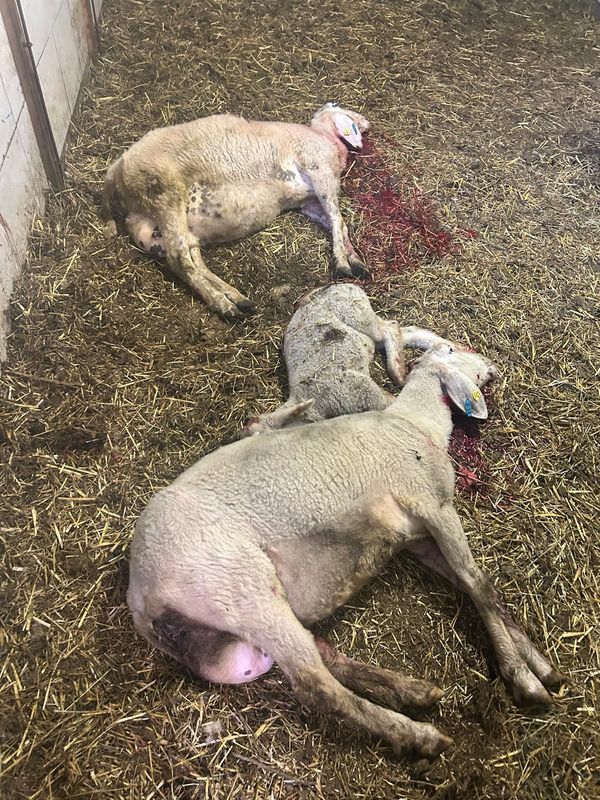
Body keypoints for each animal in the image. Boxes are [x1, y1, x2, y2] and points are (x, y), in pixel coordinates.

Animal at [101, 103, 370, 319]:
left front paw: (356, 260)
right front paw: (343, 263)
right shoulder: (319, 169)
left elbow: (337, 223)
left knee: (188, 255)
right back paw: (224, 306)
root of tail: (116, 170)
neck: (324, 138)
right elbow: (337, 218)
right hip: (163, 192)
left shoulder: (309, 201)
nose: (367, 121)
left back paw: (236, 298)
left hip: (150, 229)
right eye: (349, 112)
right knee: (179, 257)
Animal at [127, 342, 565, 758]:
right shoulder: (434, 505)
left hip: (232, 634)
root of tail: (139, 597)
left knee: (321, 657)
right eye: (453, 350)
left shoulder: (418, 539)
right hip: (237, 585)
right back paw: (417, 735)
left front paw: (542, 665)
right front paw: (524, 679)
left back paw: (409, 691)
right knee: (314, 684)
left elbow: (469, 585)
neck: (414, 423)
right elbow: (479, 584)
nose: (491, 364)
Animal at [242, 283, 450, 436]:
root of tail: (338, 284)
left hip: (357, 313)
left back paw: (398, 371)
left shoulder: (365, 392)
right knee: (403, 331)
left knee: (390, 327)